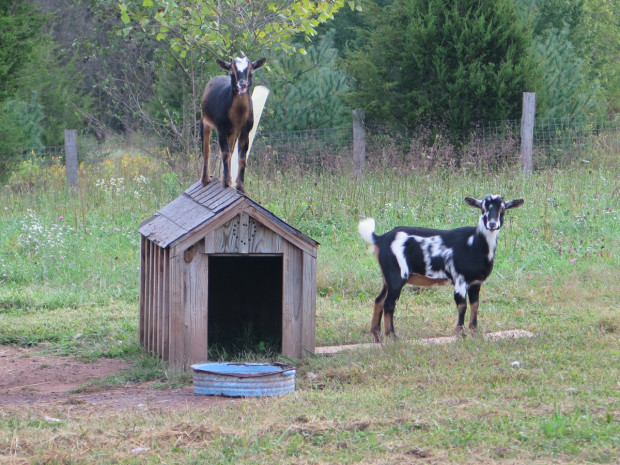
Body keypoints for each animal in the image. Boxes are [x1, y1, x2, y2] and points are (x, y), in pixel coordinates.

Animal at [358, 193, 524, 340]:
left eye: (503, 208)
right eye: (483, 208)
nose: (492, 224)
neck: (474, 244)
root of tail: (380, 238)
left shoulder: (476, 282)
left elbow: (475, 305)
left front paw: (474, 333)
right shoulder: (460, 279)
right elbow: (462, 305)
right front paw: (460, 334)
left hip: (387, 277)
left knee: (379, 300)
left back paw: (377, 336)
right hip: (396, 275)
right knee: (389, 304)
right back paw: (392, 336)